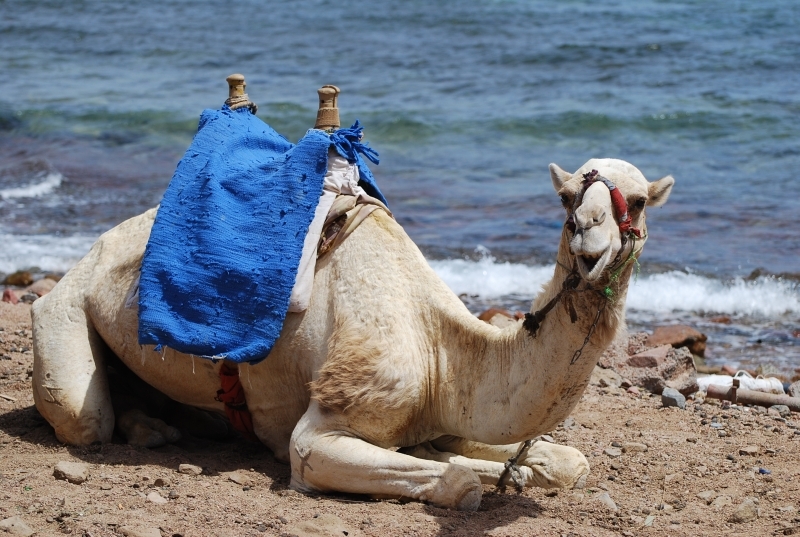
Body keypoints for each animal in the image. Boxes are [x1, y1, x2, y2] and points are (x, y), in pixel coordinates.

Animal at [31, 100, 673, 511]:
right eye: (567, 198)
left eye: (637, 201)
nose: (590, 243)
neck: (441, 353)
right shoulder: (324, 428)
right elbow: (457, 483)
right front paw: (482, 478)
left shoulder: (441, 414)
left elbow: (567, 463)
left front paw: (521, 471)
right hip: (62, 309)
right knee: (84, 415)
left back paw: (158, 427)